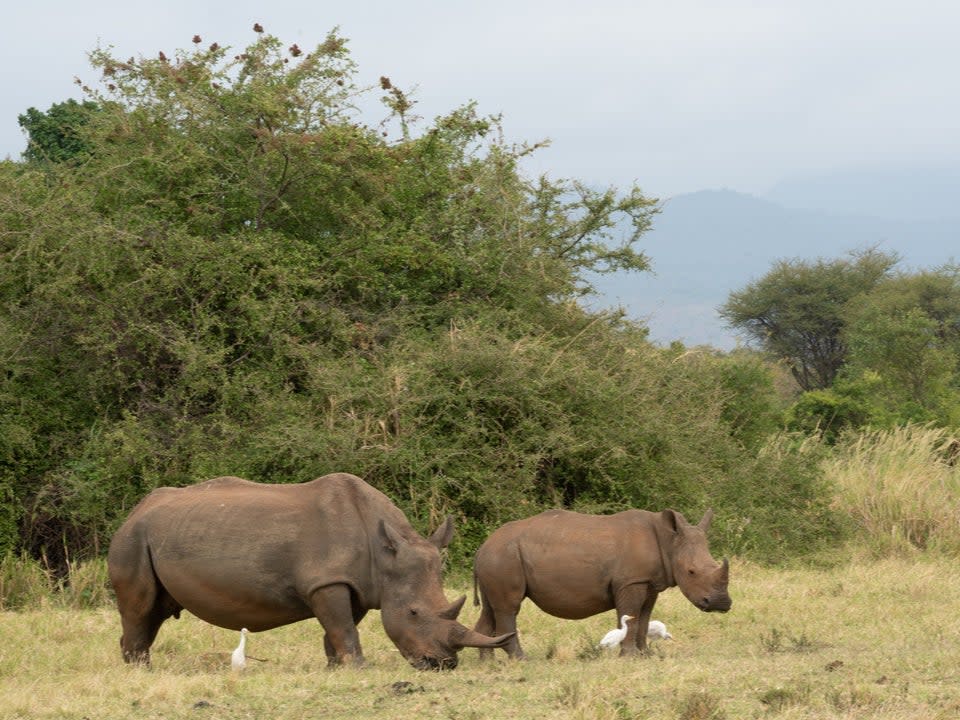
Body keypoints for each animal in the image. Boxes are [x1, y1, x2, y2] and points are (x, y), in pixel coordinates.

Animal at [109, 472, 512, 668]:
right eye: (413, 613)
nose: (442, 664)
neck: (383, 555)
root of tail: (135, 509)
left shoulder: (356, 584)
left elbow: (339, 628)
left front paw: (335, 667)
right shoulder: (326, 581)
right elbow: (343, 627)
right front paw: (358, 668)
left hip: (158, 534)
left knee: (156, 611)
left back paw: (138, 664)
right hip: (133, 538)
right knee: (140, 608)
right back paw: (140, 670)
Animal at [470, 506, 728, 660]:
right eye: (691, 572)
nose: (722, 604)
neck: (669, 541)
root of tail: (482, 547)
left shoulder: (649, 582)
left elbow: (644, 618)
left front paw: (645, 655)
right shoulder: (631, 582)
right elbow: (631, 616)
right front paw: (630, 656)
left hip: (496, 558)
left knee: (491, 609)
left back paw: (488, 663)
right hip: (503, 557)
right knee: (508, 608)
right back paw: (521, 660)